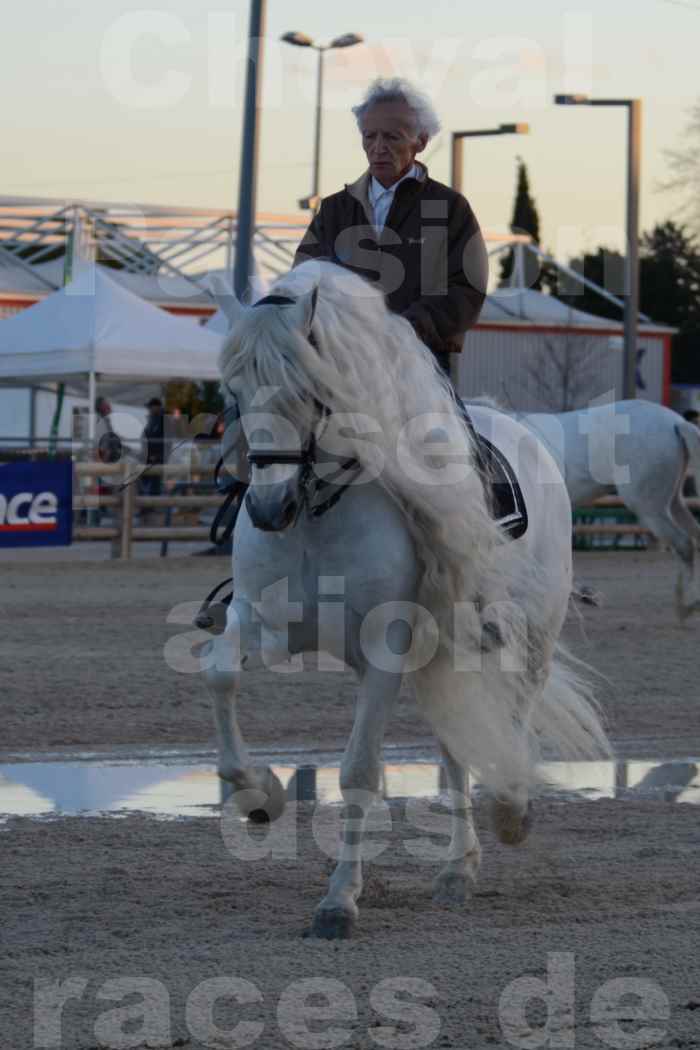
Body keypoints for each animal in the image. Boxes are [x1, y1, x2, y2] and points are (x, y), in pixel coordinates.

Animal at [201, 264, 608, 944]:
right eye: (232, 390)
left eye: (310, 389)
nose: (268, 509)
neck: (318, 515)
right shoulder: (262, 624)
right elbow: (220, 673)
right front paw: (261, 796)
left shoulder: (384, 649)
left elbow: (360, 771)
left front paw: (339, 901)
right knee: (456, 742)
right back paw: (458, 870)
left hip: (529, 638)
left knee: (511, 716)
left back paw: (511, 810)